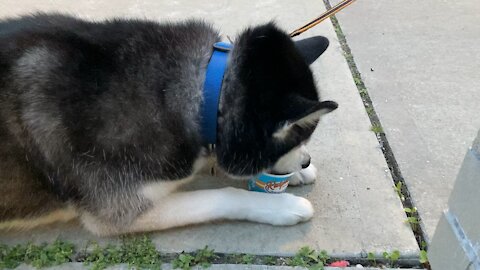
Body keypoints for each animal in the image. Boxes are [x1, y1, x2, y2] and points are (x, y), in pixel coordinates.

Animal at [0, 13, 338, 235]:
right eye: (299, 138)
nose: (306, 160)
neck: (207, 93)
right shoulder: (117, 208)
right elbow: (223, 195)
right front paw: (281, 207)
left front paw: (299, 173)